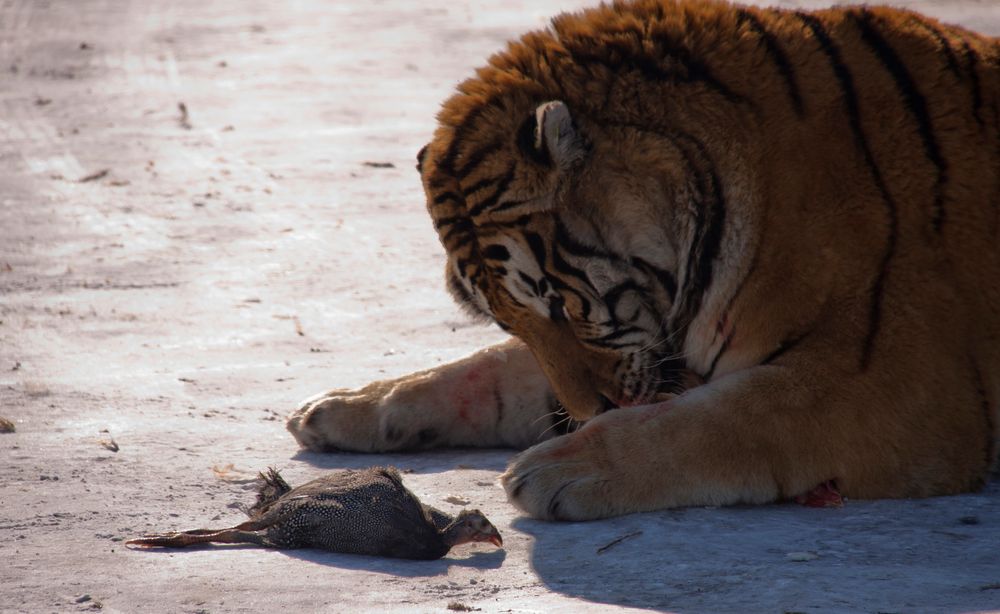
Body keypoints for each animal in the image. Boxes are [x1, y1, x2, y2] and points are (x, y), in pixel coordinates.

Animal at [286, 0, 996, 524]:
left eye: (563, 303)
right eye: (510, 320)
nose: (586, 413)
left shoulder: (896, 381)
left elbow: (728, 417)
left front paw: (558, 467)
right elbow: (482, 370)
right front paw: (343, 406)